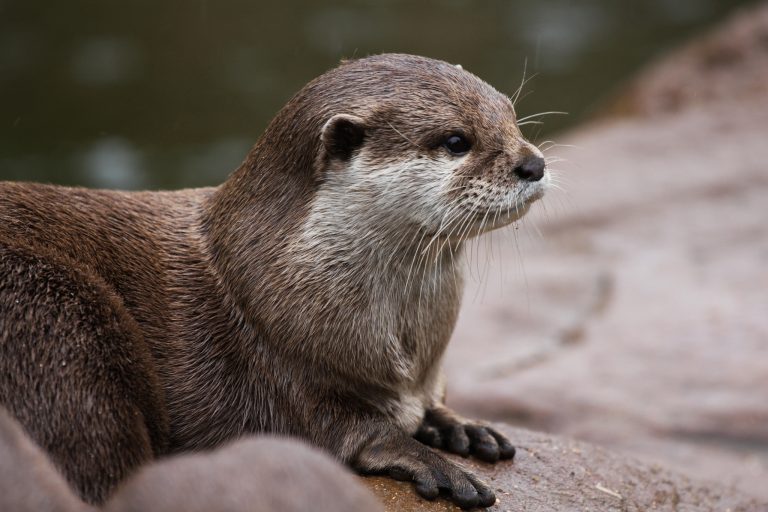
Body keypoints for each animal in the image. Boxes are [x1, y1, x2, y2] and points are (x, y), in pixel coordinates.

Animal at [0, 53, 548, 509]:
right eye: (457, 141)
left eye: (510, 116)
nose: (534, 163)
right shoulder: (281, 376)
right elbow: (346, 431)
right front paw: (427, 458)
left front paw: (461, 426)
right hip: (59, 321)